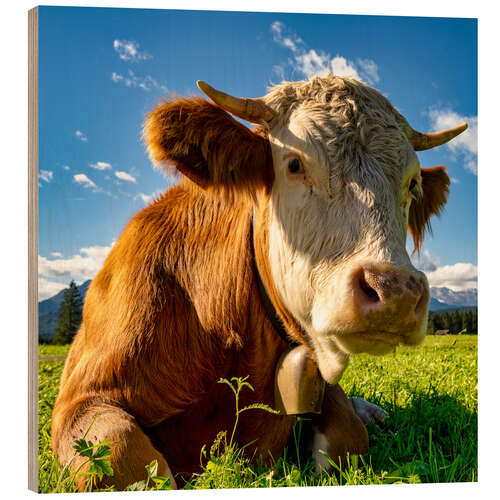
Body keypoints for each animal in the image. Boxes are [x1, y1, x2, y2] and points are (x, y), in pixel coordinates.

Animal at [49, 74, 464, 488]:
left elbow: (348, 433)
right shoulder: (82, 398)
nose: (395, 292)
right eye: (294, 164)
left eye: (412, 184)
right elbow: (126, 456)